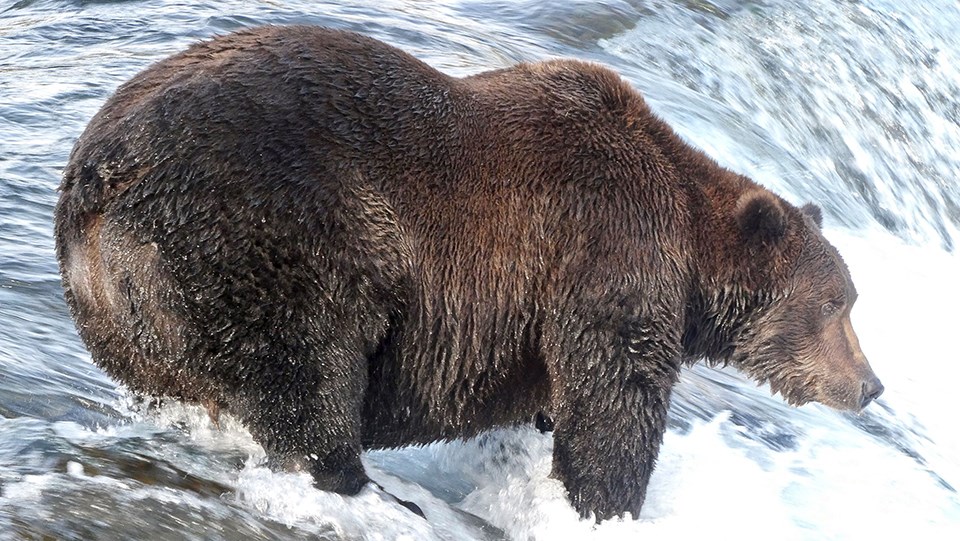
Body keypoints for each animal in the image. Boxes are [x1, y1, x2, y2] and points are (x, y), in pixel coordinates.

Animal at [50, 24, 876, 520]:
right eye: (837, 304)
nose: (870, 384)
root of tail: (99, 171)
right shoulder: (605, 247)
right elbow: (615, 395)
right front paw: (603, 504)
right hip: (272, 231)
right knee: (305, 372)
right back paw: (358, 484)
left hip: (126, 304)